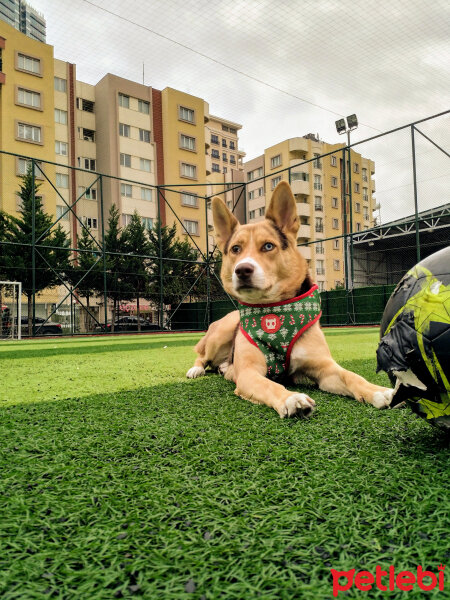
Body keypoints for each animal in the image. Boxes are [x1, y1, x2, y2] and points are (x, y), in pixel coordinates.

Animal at [186, 180, 394, 420]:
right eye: (235, 249)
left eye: (268, 246)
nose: (242, 270)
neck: (275, 310)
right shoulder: (248, 373)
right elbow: (271, 385)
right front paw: (291, 399)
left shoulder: (325, 368)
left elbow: (352, 376)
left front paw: (378, 391)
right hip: (221, 333)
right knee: (202, 357)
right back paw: (196, 369)